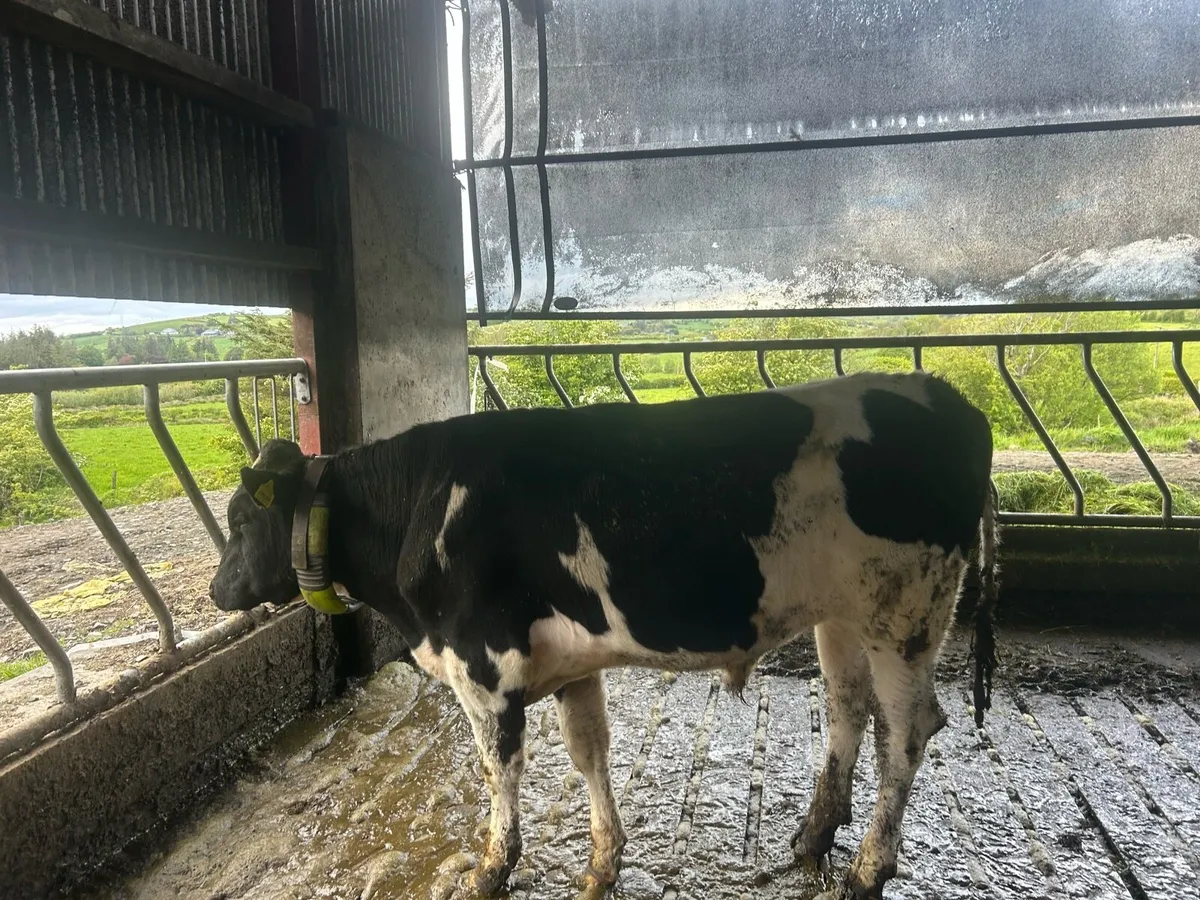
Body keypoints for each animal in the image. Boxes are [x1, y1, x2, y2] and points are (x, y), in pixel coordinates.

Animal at [210, 371, 998, 900]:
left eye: (242, 519)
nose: (218, 592)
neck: (420, 507)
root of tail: (949, 399)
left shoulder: (483, 667)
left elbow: (499, 770)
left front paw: (492, 867)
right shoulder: (568, 663)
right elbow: (590, 754)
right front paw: (602, 863)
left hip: (907, 615)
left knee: (907, 733)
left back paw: (867, 870)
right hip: (844, 615)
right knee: (846, 710)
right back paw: (814, 835)